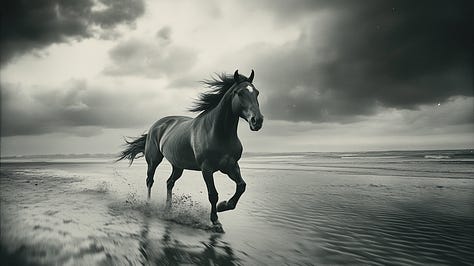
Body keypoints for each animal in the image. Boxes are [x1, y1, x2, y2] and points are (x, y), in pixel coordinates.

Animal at [115, 69, 262, 232]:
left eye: (257, 92)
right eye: (239, 93)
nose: (257, 121)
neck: (218, 133)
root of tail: (155, 125)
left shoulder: (231, 166)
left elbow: (241, 186)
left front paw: (223, 206)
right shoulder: (207, 169)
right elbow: (213, 194)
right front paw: (216, 220)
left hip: (178, 166)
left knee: (169, 182)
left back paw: (168, 210)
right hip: (154, 160)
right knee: (150, 180)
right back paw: (148, 205)